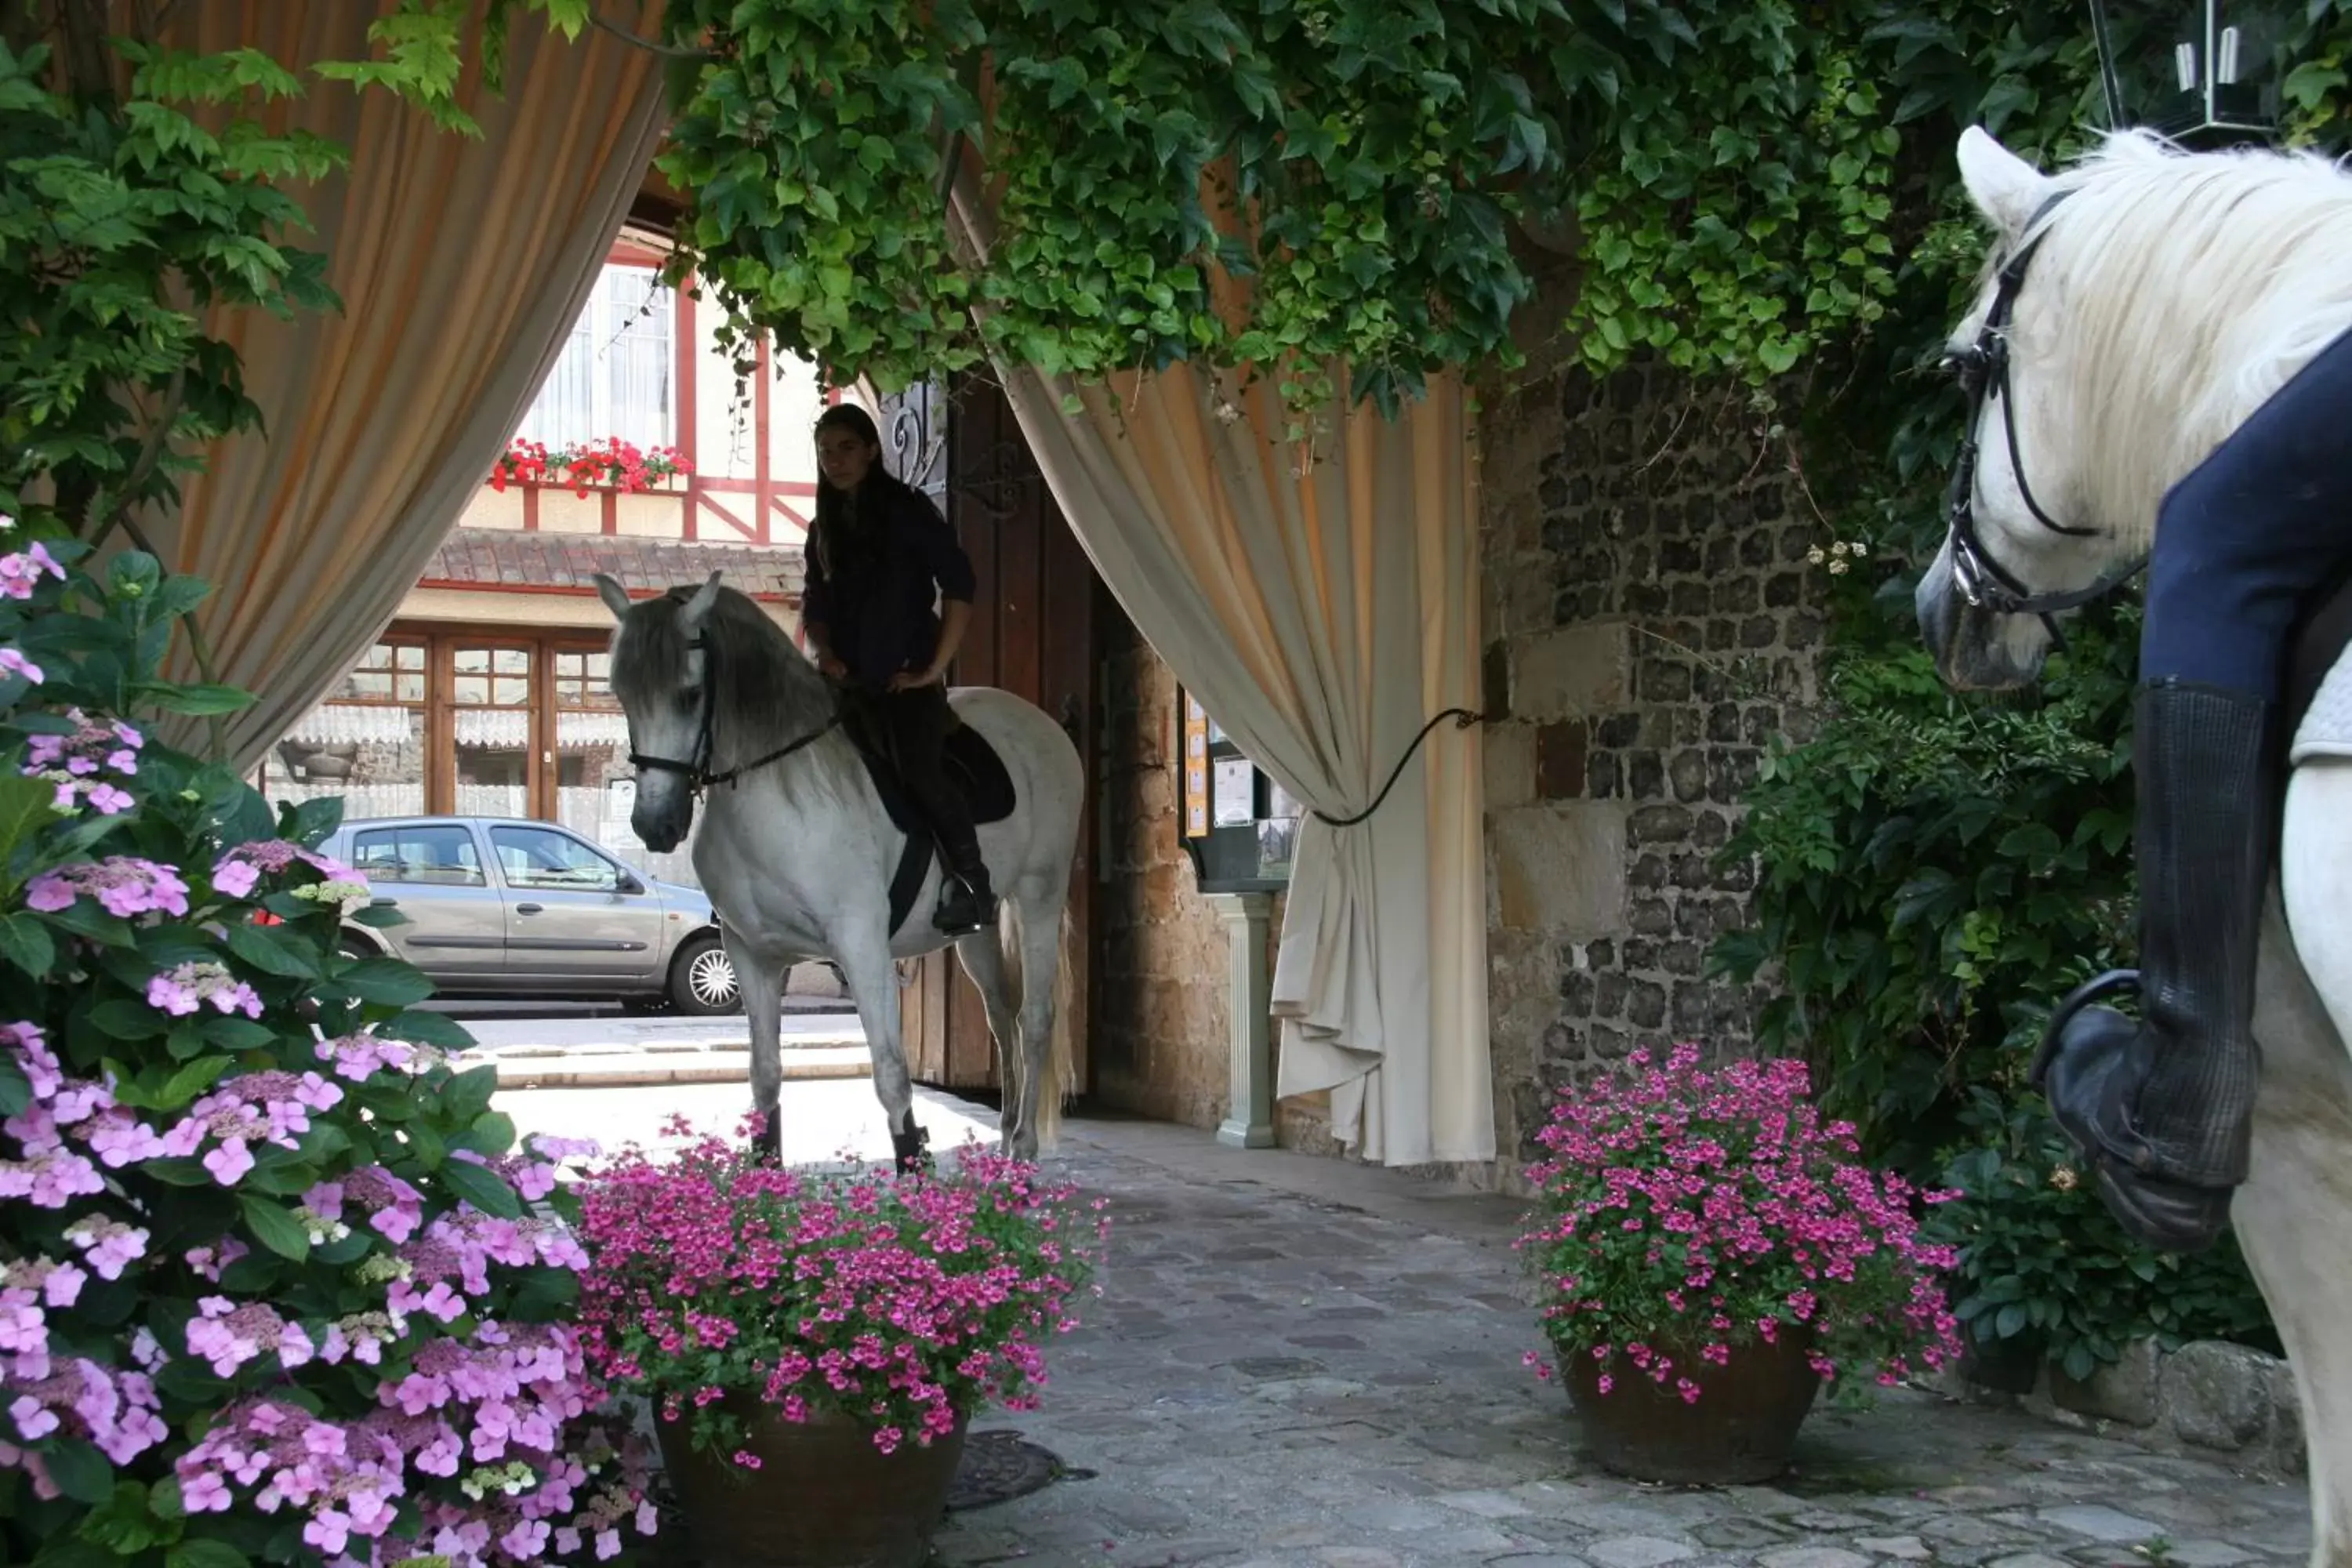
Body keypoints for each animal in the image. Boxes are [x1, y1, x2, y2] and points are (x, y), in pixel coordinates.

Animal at [602, 573, 1087, 1166]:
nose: (656, 825)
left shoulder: (861, 947)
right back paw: (1005, 1134)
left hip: (1039, 897)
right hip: (980, 928)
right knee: (1002, 1015)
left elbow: (892, 1077)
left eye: (690, 693)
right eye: (622, 694)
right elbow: (765, 1077)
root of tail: (1043, 726)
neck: (777, 796)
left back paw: (1024, 1148)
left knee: (1034, 1019)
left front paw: (914, 1172)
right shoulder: (752, 956)